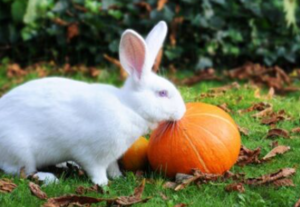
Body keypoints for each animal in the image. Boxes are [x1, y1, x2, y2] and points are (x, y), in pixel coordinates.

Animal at [0, 21, 186, 185]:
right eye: (162, 93)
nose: (182, 111)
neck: (129, 107)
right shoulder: (92, 155)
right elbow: (96, 170)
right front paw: (103, 183)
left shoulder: (111, 157)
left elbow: (112, 167)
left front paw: (118, 177)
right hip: (20, 151)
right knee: (21, 171)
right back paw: (49, 178)